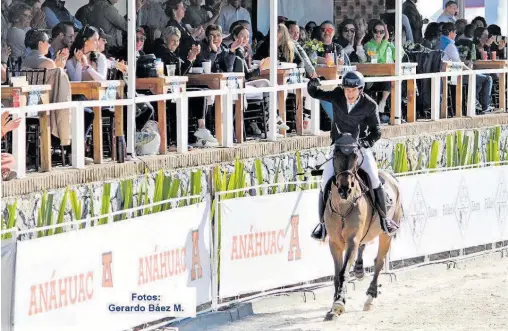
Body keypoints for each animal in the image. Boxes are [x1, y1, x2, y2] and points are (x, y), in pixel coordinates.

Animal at [324, 134, 402, 322]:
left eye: (355, 156)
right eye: (336, 155)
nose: (344, 188)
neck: (343, 207)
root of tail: (391, 177)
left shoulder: (352, 239)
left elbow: (343, 271)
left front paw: (339, 304)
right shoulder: (334, 243)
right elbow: (337, 275)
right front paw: (335, 304)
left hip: (386, 235)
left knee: (379, 261)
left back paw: (370, 297)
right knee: (364, 246)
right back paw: (359, 270)